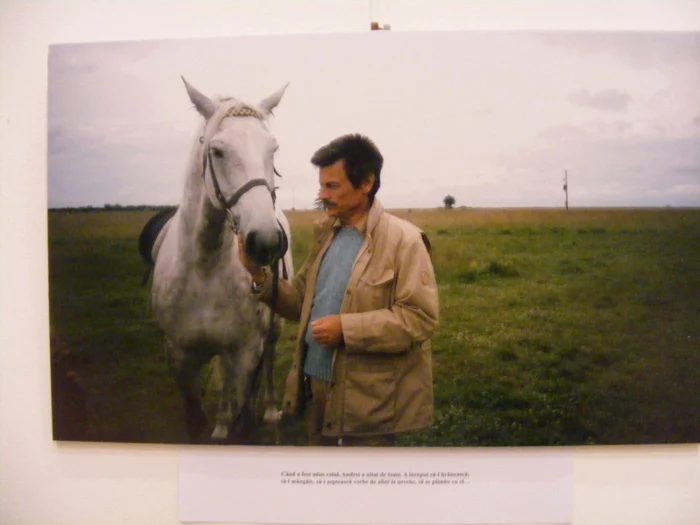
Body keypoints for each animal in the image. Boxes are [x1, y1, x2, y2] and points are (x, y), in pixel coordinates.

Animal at [139, 78, 292, 444]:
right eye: (218, 151)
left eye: (273, 150)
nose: (265, 242)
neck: (204, 269)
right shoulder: (180, 357)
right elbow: (197, 420)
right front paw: (216, 428)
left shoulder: (246, 354)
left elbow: (244, 413)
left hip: (272, 332)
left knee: (267, 366)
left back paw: (269, 411)